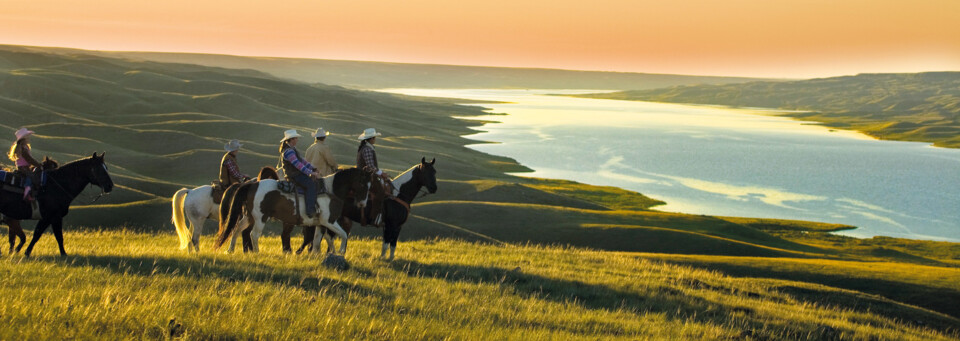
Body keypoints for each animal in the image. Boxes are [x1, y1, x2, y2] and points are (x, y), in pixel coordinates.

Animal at [216, 166, 374, 254]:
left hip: (249, 216)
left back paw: (230, 250)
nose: (362, 204)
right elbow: (343, 234)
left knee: (237, 228)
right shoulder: (329, 221)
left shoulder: (320, 224)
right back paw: (256, 252)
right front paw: (341, 251)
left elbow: (318, 241)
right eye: (363, 184)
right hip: (260, 217)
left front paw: (317, 255)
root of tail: (252, 184)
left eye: (370, 185)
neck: (330, 190)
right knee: (254, 234)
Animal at [298, 157, 440, 260]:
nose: (434, 188)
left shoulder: (397, 226)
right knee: (326, 235)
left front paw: (390, 259)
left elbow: (393, 244)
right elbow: (386, 243)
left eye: (434, 172)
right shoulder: (391, 225)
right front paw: (383, 259)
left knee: (324, 235)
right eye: (425, 172)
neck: (398, 195)